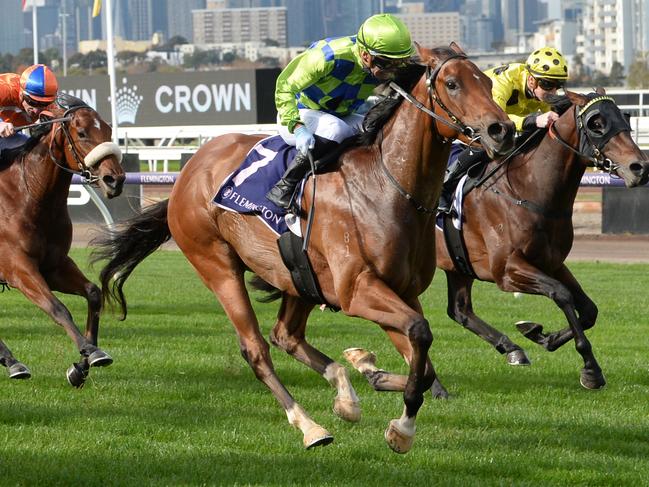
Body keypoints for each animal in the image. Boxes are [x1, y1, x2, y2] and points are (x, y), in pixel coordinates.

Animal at [0, 94, 124, 388]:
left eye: (108, 130)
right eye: (81, 133)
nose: (115, 179)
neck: (29, 196)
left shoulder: (54, 266)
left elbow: (93, 293)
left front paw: (81, 367)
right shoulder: (17, 267)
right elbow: (57, 308)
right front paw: (91, 350)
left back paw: (11, 362)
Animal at [93, 44, 512, 454]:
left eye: (486, 80)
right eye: (453, 84)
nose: (502, 129)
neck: (386, 187)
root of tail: (189, 171)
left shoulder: (401, 290)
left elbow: (422, 368)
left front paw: (376, 382)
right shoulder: (358, 290)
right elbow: (420, 334)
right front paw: (398, 421)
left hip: (298, 277)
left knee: (286, 336)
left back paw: (346, 391)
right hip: (216, 264)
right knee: (257, 350)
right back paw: (310, 426)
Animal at [344, 87, 648, 392]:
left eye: (624, 117)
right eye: (597, 123)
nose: (639, 167)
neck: (528, 188)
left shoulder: (551, 262)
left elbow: (588, 310)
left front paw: (541, 335)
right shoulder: (506, 270)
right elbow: (561, 294)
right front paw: (590, 369)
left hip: (457, 264)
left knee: (460, 311)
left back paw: (510, 349)